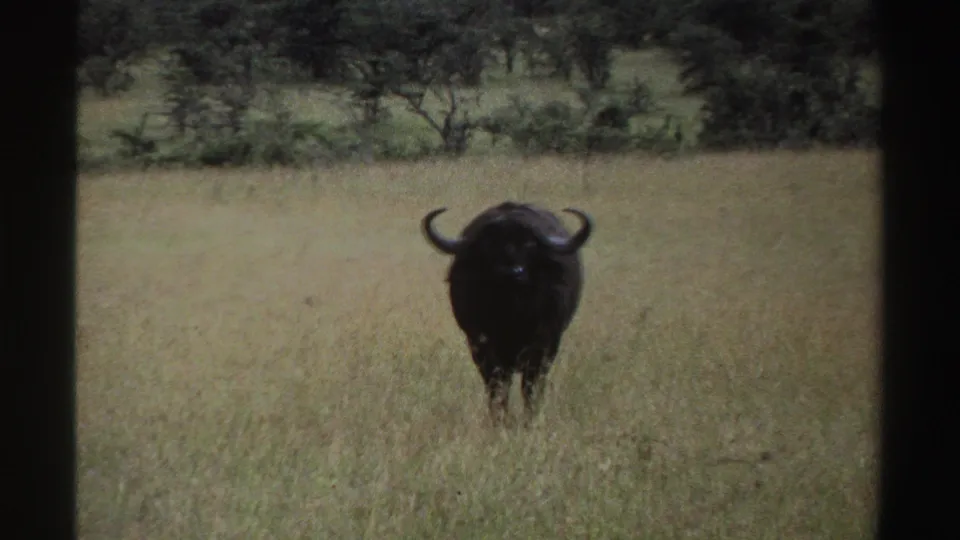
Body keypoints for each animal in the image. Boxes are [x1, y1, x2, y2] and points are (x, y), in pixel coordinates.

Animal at [421, 201, 594, 425]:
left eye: (530, 245)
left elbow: (531, 387)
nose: (513, 273)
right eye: (490, 245)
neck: (512, 314)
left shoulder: (544, 346)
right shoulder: (481, 346)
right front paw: (500, 420)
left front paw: (529, 420)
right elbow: (497, 386)